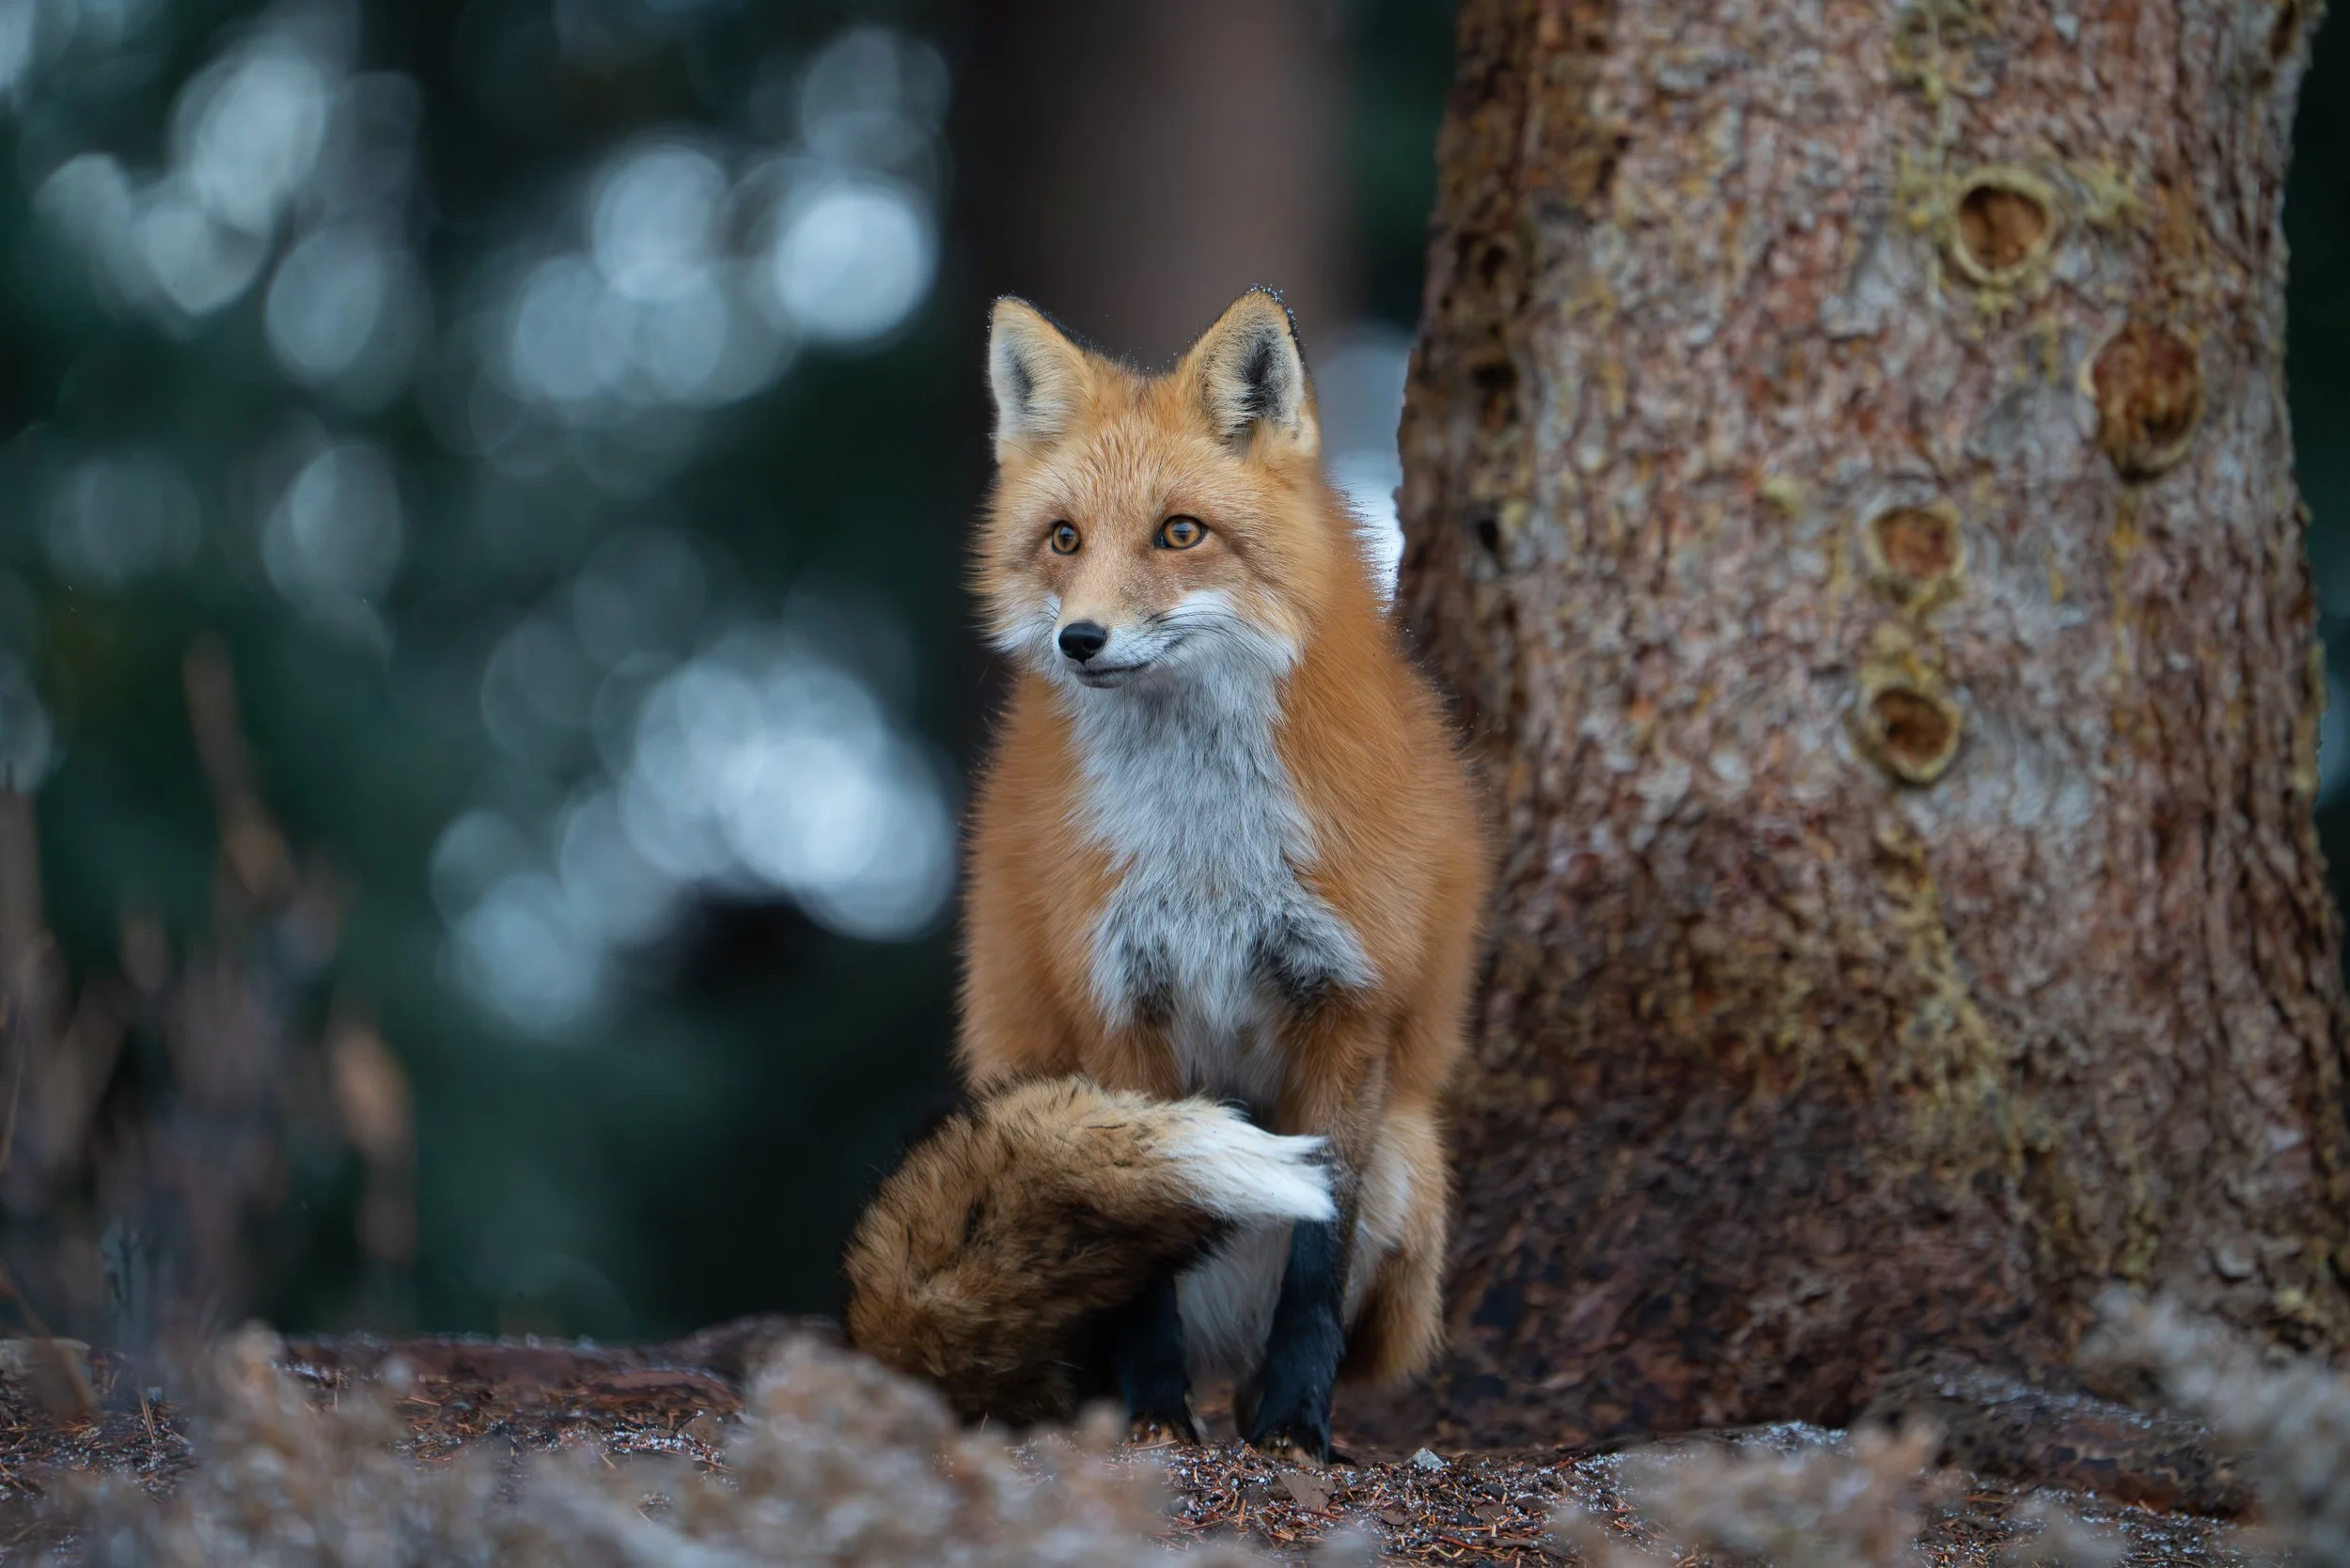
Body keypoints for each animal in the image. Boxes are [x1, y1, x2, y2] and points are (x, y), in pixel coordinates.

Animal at [842, 287, 1487, 1462]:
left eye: (1179, 532)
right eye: (1063, 539)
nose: (1080, 639)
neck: (1207, 854)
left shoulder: (1347, 1007)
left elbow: (1317, 1260)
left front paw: (1296, 1426)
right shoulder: (1119, 1004)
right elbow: (1135, 1247)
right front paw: (1153, 1419)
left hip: (1413, 1160)